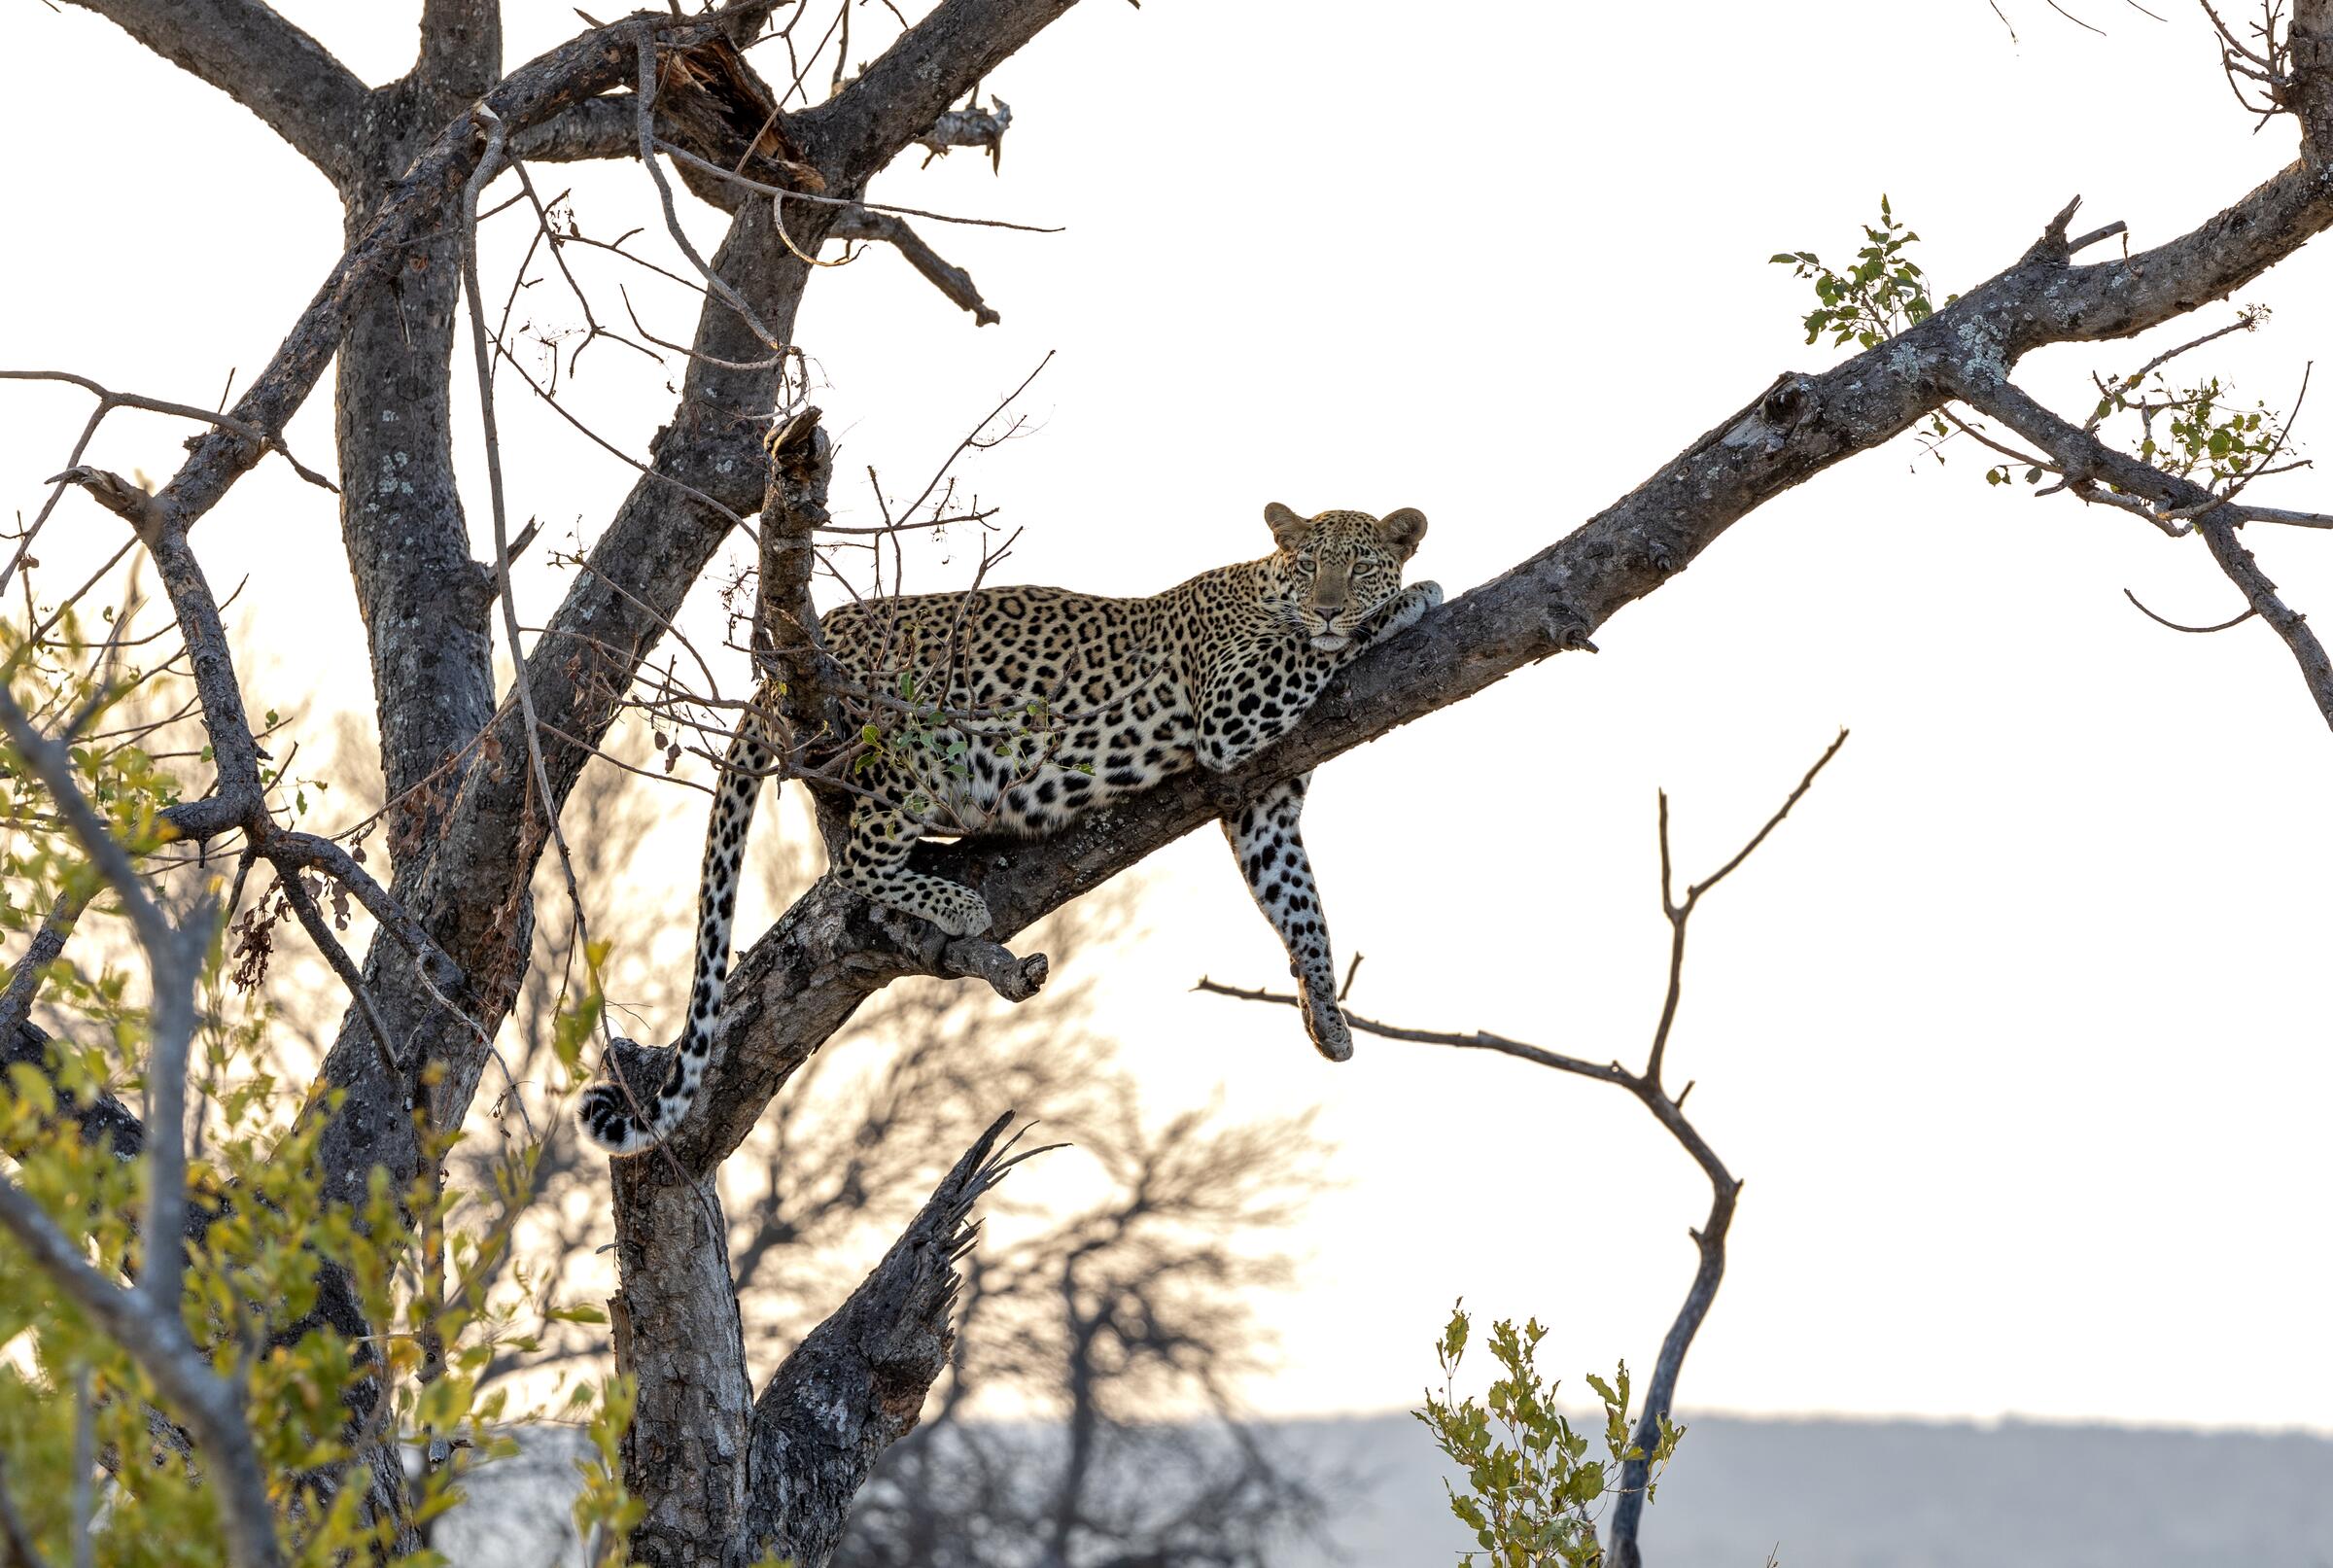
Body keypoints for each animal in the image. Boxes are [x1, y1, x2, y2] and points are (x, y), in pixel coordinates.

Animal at [579, 499, 1440, 1156]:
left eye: (1359, 565)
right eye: (1311, 566)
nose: (1329, 604)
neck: (1263, 583)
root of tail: (770, 679)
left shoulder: (1263, 806)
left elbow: (1301, 907)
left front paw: (1326, 1014)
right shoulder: (1230, 709)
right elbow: (1310, 650)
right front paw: (1411, 600)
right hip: (918, 741)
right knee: (856, 860)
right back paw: (957, 902)